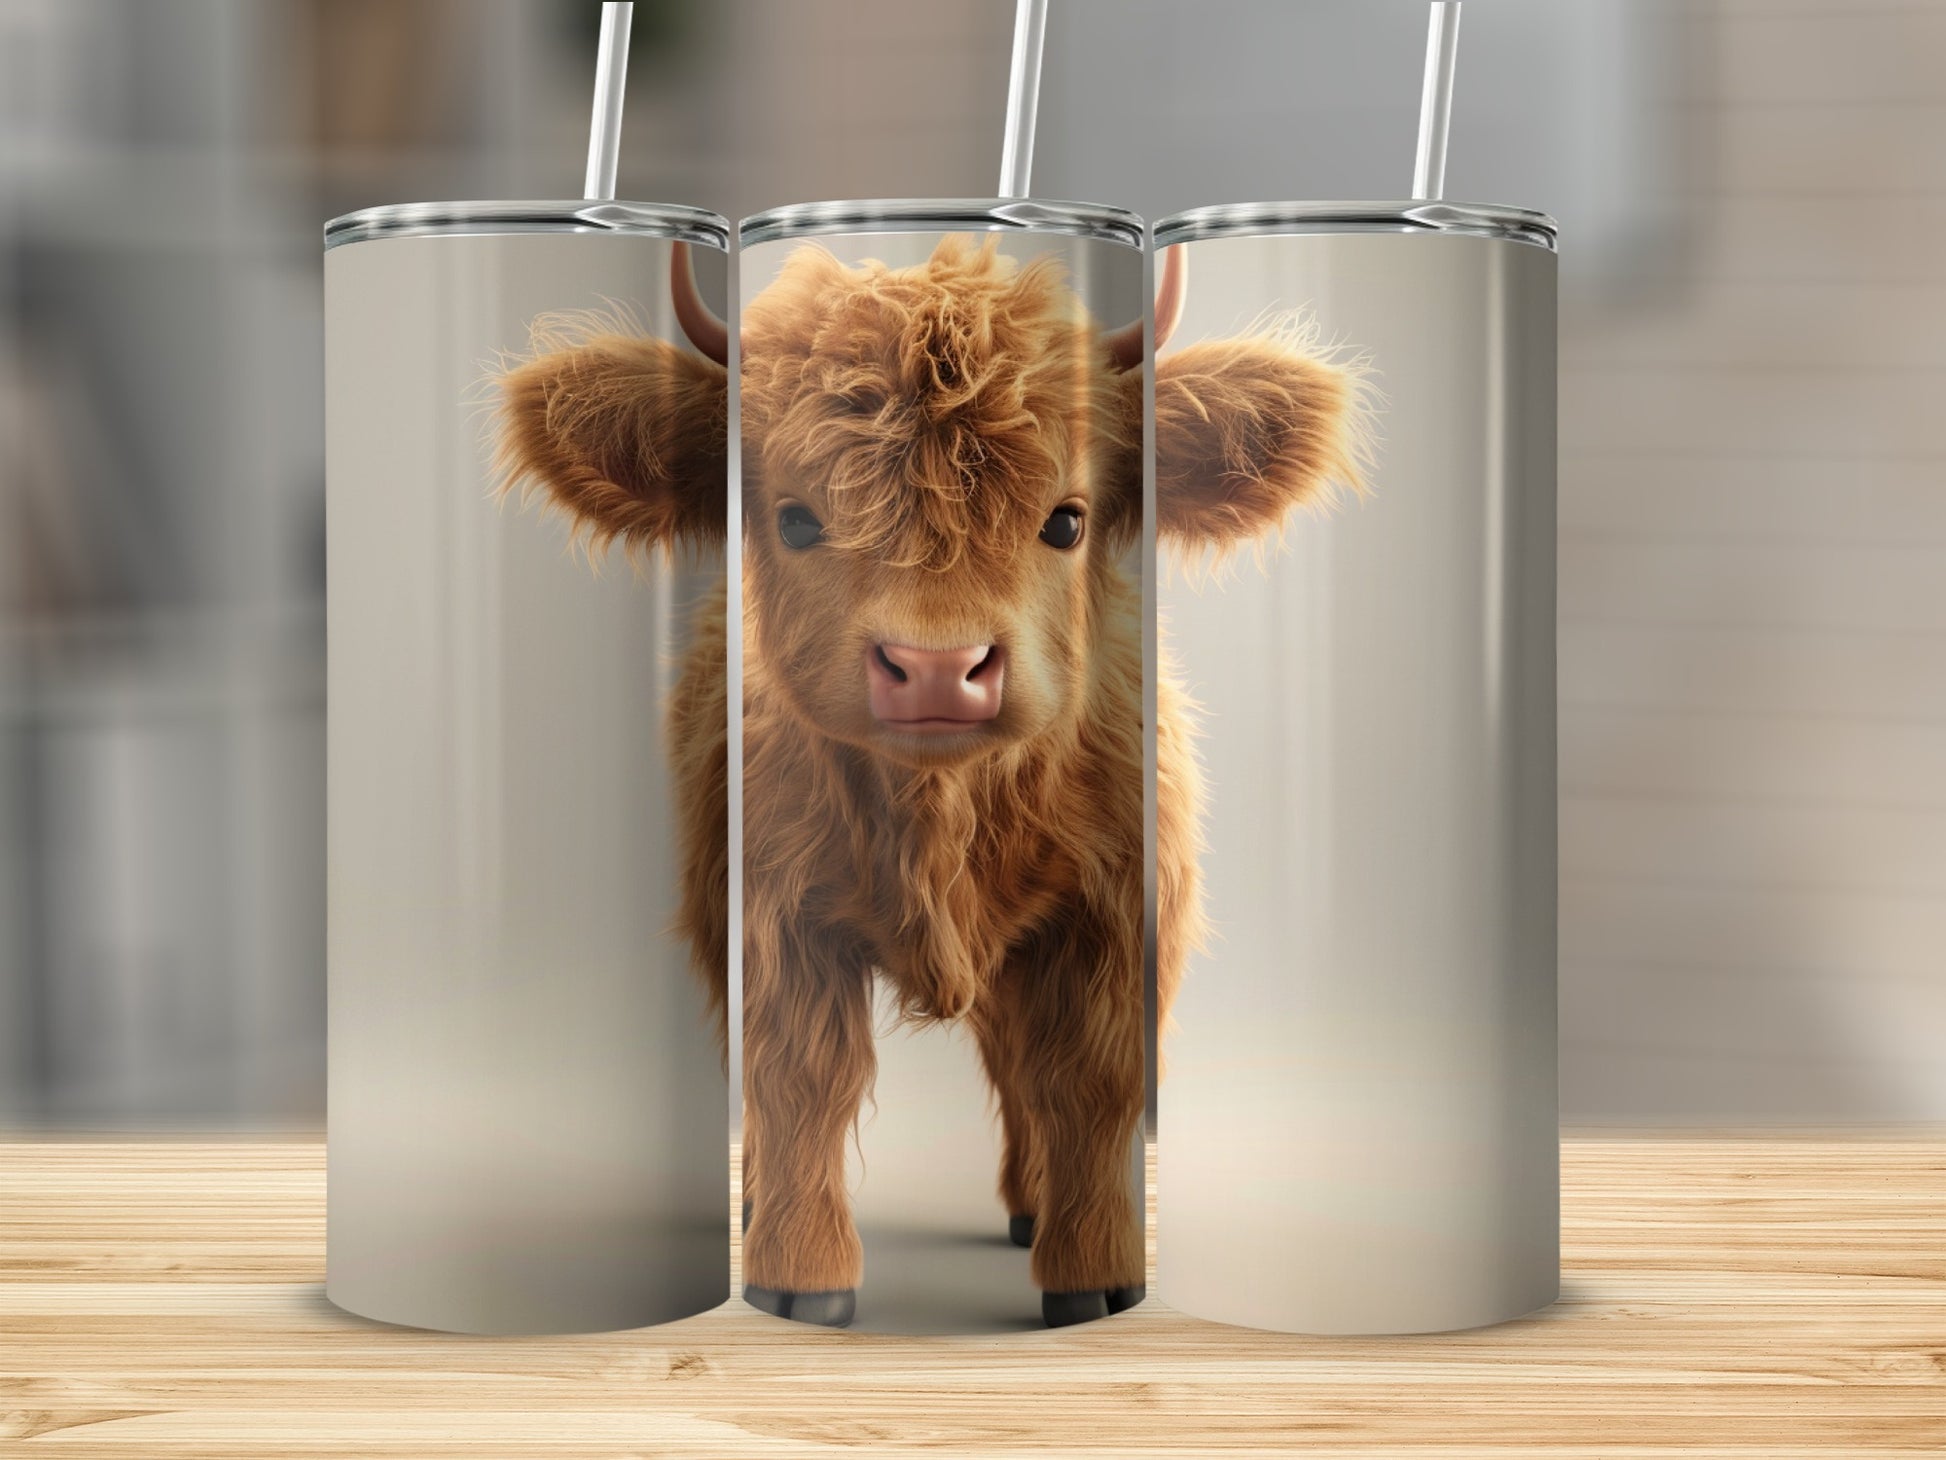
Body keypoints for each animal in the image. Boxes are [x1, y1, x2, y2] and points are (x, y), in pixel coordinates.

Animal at [492, 234, 1367, 1327]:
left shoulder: (1112, 917)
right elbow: (799, 1082)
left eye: (1066, 521)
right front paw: (802, 1275)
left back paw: (1033, 1205)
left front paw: (1093, 1271)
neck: (939, 813)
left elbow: (1087, 1087)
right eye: (793, 518)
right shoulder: (767, 918)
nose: (939, 668)